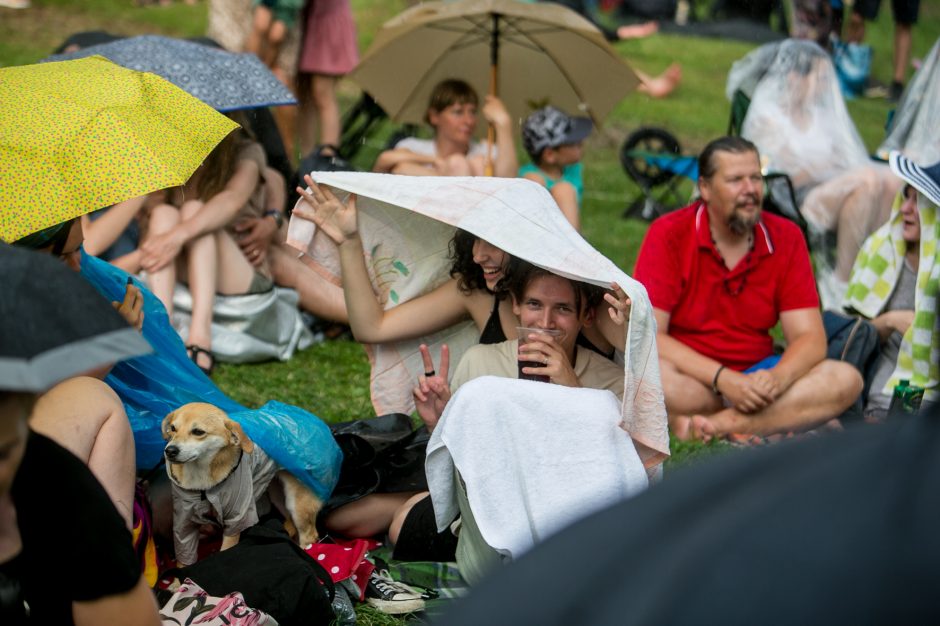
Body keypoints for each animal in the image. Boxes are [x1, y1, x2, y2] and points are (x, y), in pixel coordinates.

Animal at [163, 402, 322, 564]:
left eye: (198, 432)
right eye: (173, 428)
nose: (170, 450)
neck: (201, 481)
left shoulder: (236, 520)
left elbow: (226, 550)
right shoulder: (183, 524)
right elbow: (183, 558)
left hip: (297, 504)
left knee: (310, 536)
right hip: (278, 496)